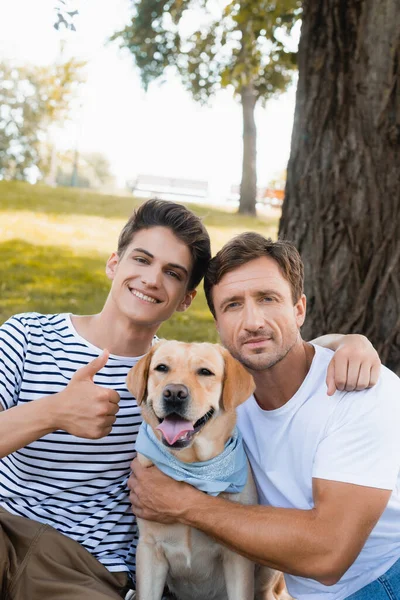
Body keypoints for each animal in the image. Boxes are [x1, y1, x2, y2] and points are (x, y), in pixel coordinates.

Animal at [127, 340, 290, 600]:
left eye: (205, 372)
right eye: (161, 368)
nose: (174, 393)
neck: (191, 467)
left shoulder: (237, 559)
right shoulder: (149, 550)